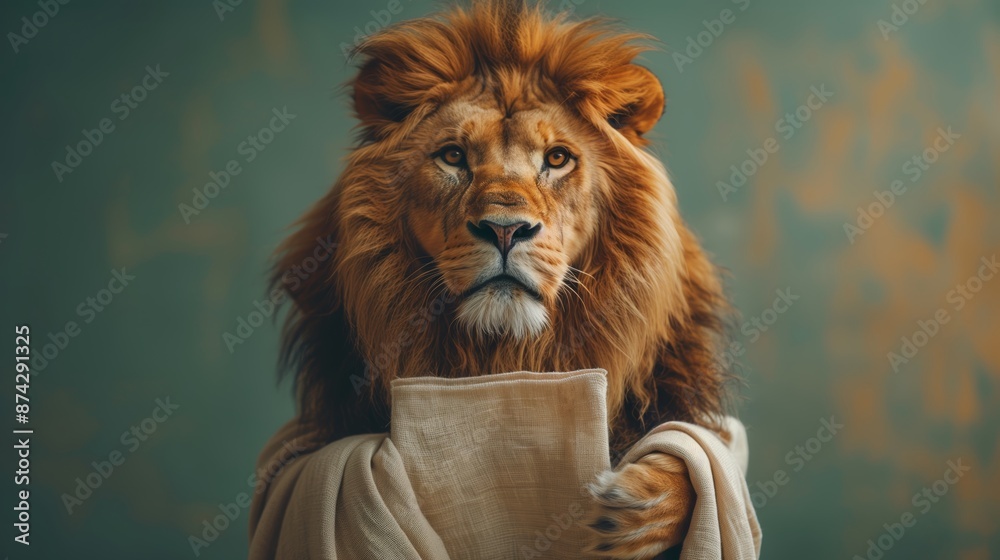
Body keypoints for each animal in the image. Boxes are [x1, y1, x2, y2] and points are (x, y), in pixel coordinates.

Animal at [270, 1, 734, 557]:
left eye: (557, 158)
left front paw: (630, 511)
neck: (505, 357)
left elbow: (698, 452)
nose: (505, 229)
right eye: (453, 156)